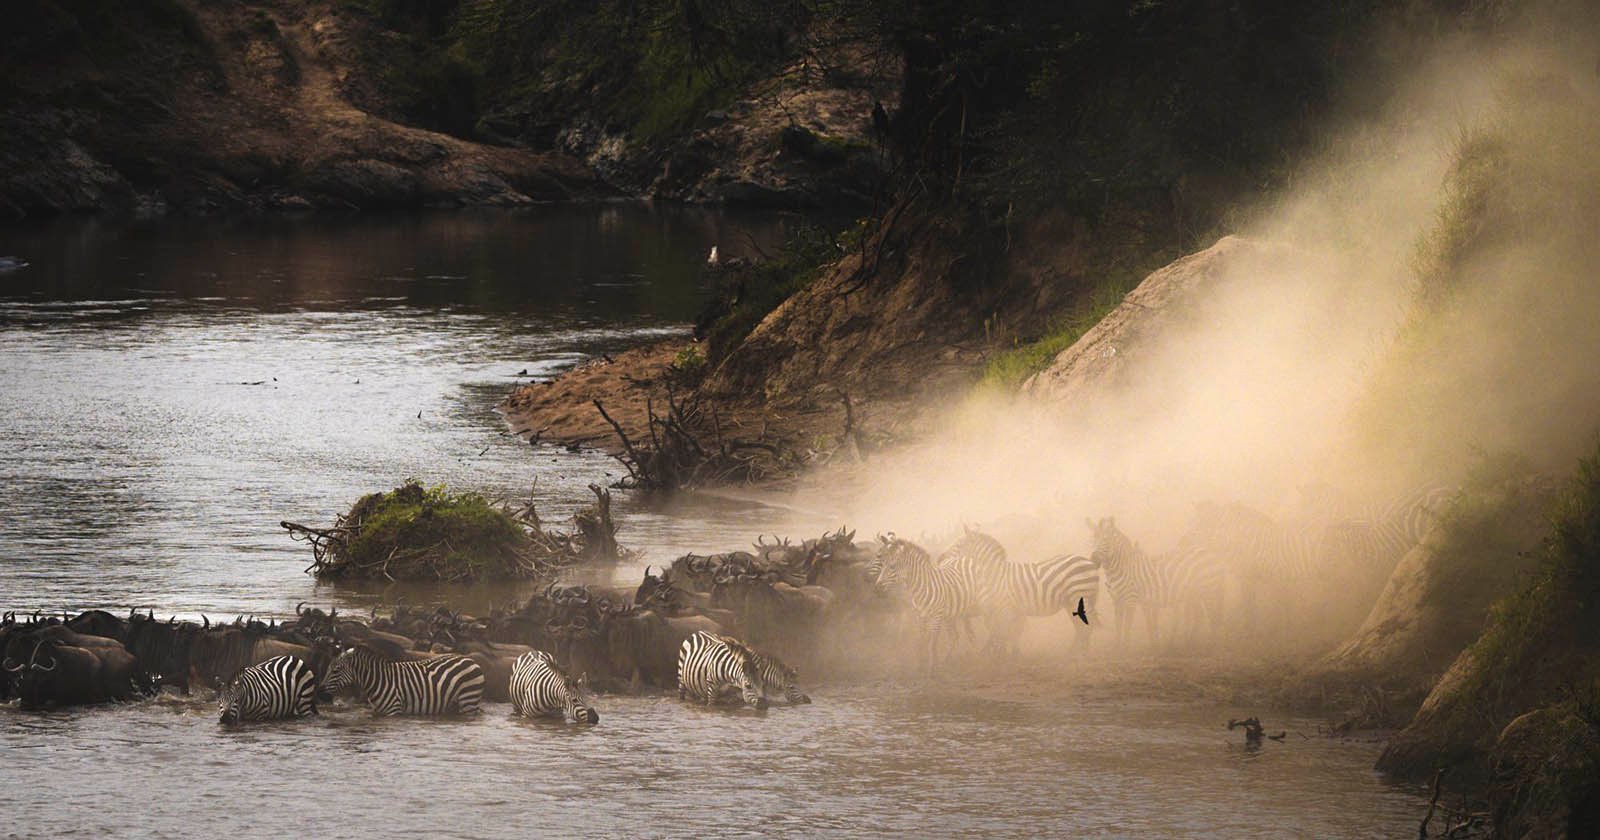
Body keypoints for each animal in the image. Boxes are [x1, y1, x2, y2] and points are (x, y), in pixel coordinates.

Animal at [318, 643, 480, 713]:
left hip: (468, 700)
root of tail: (470, 660)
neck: (379, 680)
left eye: (336, 670)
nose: (320, 693)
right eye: (328, 669)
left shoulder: (393, 710)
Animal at [934, 531, 1100, 656]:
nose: (939, 558)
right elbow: (1006, 632)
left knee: (1088, 625)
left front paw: (999, 655)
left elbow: (1002, 631)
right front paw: (1007, 654)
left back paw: (1084, 653)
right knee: (1080, 626)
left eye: (958, 544)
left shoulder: (1004, 608)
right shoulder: (1006, 609)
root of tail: (1090, 562)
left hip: (1079, 596)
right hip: (1070, 601)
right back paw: (1073, 652)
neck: (994, 574)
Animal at [1088, 515, 1222, 646]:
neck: (1120, 570)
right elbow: (1118, 629)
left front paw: (1125, 648)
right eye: (1093, 539)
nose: (1093, 559)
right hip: (1195, 594)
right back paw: (1191, 642)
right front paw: (1117, 647)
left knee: (1213, 619)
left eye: (1106, 540)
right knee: (1199, 617)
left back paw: (1211, 644)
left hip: (1209, 590)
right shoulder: (1117, 601)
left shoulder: (1131, 600)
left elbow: (1126, 629)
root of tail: (1211, 553)